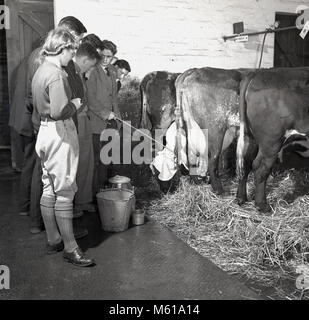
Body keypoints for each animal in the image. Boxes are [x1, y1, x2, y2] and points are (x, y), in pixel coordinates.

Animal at [236, 67, 309, 212]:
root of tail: (257, 72)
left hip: (250, 137)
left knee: (246, 164)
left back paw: (241, 198)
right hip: (272, 141)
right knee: (260, 169)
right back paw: (262, 206)